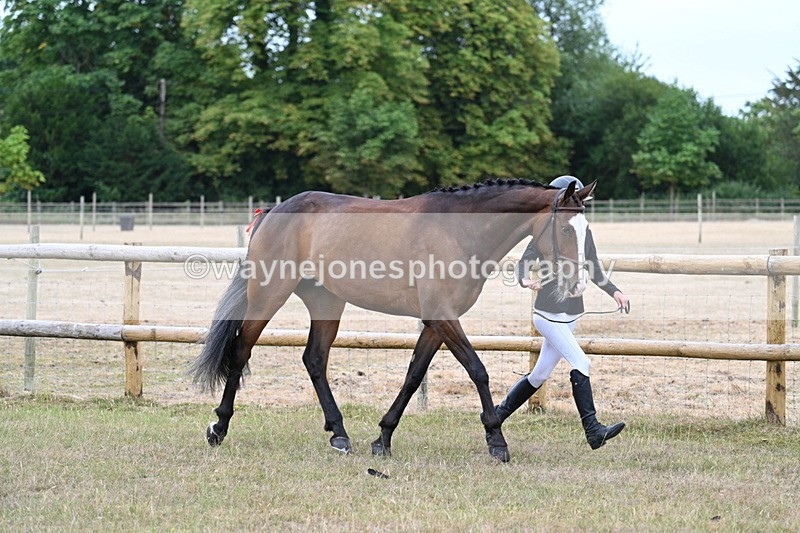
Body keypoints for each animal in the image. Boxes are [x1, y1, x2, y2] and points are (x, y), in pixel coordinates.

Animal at [188, 178, 596, 462]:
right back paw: (218, 427)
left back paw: (339, 434)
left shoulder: (435, 323)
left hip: (326, 303)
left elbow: (413, 377)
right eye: (564, 229)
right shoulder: (443, 317)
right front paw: (496, 441)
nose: (577, 283)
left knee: (314, 359)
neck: (459, 231)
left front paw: (382, 439)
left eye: (585, 231)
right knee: (241, 352)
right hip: (268, 295)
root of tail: (275, 212)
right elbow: (477, 370)